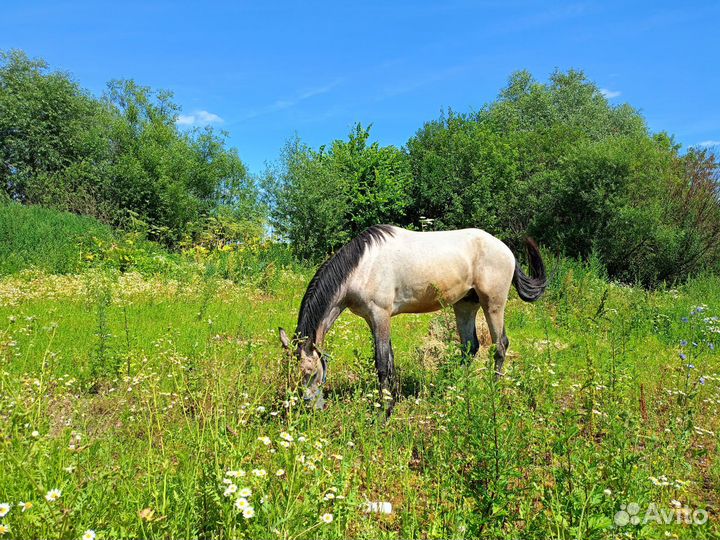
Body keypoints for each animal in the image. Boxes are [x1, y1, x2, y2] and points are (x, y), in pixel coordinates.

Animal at [280, 224, 544, 410]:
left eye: (312, 373)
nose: (310, 407)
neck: (362, 266)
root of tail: (506, 250)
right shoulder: (373, 319)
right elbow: (389, 360)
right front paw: (391, 401)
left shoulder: (380, 315)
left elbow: (382, 364)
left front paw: (384, 412)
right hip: (465, 305)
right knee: (470, 347)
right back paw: (457, 389)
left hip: (494, 304)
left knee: (500, 346)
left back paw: (494, 392)